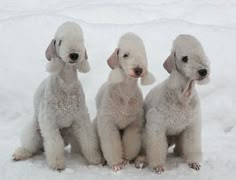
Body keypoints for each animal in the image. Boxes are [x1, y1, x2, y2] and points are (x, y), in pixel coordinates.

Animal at [12, 21, 102, 170]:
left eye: (81, 40)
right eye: (60, 42)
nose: (74, 55)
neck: (67, 83)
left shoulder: (81, 118)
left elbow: (88, 139)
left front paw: (95, 159)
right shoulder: (49, 120)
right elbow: (54, 142)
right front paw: (57, 163)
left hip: (71, 132)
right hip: (34, 130)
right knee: (31, 145)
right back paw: (20, 154)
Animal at [95, 33, 156, 172]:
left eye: (142, 54)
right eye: (125, 55)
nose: (138, 69)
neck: (125, 92)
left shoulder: (134, 124)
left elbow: (130, 142)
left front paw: (126, 160)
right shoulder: (108, 123)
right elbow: (111, 144)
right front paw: (116, 164)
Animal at [136, 33, 210, 173]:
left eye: (202, 52)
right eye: (185, 58)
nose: (203, 71)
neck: (183, 95)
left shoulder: (192, 126)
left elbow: (192, 144)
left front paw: (194, 163)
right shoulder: (157, 126)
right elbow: (156, 147)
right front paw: (158, 167)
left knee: (178, 149)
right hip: (144, 136)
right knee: (144, 151)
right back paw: (141, 162)